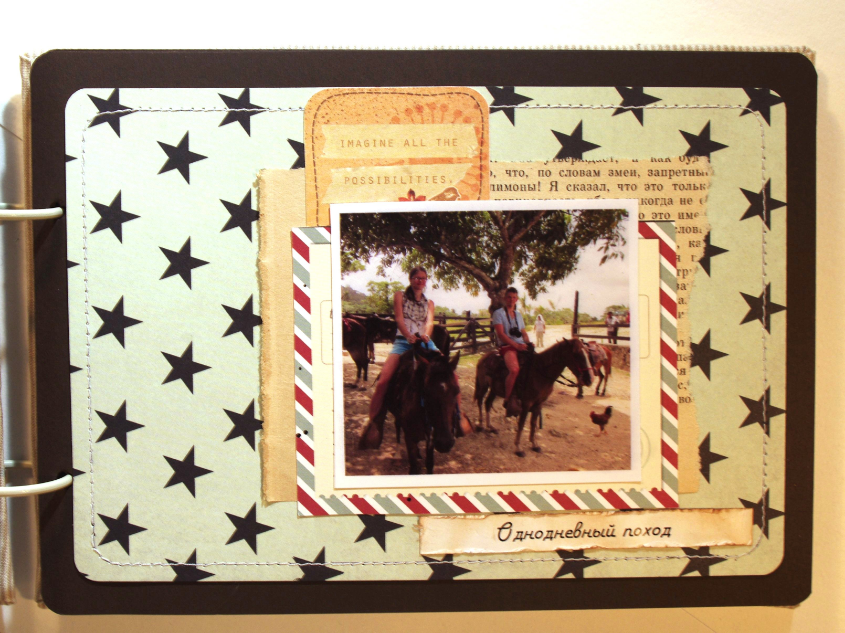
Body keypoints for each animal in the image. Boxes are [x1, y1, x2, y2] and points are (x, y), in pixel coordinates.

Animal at [364, 345, 461, 474]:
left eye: (457, 391)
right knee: (397, 426)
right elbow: (414, 468)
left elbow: (429, 464)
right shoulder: (409, 437)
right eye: (426, 391)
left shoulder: (431, 438)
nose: (444, 443)